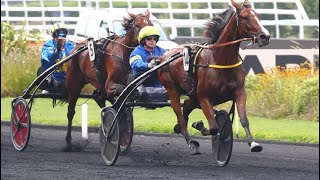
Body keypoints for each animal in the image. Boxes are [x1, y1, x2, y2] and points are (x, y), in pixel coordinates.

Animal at [64, 9, 153, 150]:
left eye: (150, 24)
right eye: (137, 25)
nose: (148, 38)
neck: (124, 54)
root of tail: (76, 47)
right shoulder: (110, 84)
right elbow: (123, 93)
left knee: (100, 98)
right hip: (74, 84)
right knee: (71, 111)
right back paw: (68, 142)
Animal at [158, 0, 270, 155]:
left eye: (258, 16)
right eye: (246, 17)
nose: (265, 36)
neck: (221, 60)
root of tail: (164, 56)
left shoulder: (239, 92)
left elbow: (244, 119)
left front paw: (253, 143)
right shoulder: (204, 97)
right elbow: (214, 127)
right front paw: (202, 128)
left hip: (193, 96)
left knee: (186, 105)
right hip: (173, 90)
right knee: (181, 120)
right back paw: (191, 143)